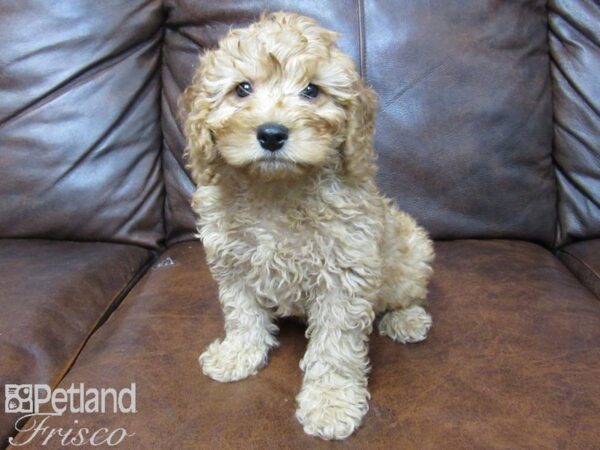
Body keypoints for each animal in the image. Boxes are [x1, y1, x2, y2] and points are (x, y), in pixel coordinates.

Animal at [185, 12, 434, 442]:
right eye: (242, 89)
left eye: (312, 90)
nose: (271, 133)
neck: (276, 189)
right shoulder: (232, 261)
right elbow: (242, 314)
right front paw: (239, 354)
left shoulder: (344, 275)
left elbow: (335, 348)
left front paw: (330, 402)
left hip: (410, 249)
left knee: (407, 291)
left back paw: (406, 318)